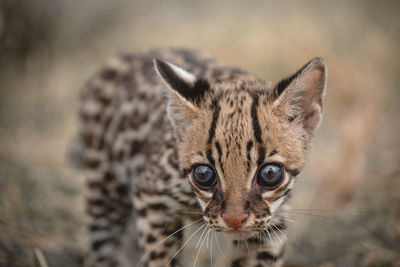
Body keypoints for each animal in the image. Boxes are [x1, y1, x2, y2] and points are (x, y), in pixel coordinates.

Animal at [76, 48, 326, 267]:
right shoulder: (150, 198)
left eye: (270, 173)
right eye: (203, 174)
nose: (234, 220)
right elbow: (160, 259)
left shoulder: (270, 224)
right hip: (104, 187)